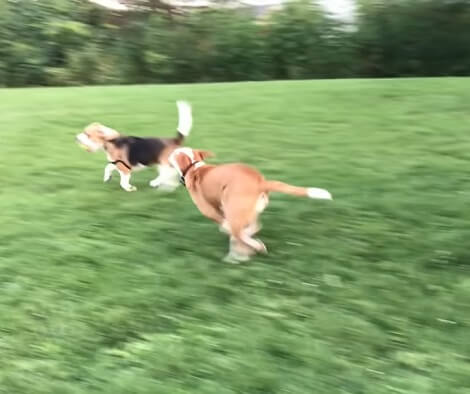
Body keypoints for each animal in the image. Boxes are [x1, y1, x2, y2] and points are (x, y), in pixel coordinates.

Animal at [167, 147, 332, 262]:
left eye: (174, 153)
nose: (167, 155)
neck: (194, 166)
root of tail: (260, 182)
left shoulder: (210, 211)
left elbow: (225, 226)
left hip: (233, 207)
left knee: (240, 233)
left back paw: (254, 246)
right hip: (250, 210)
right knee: (253, 227)